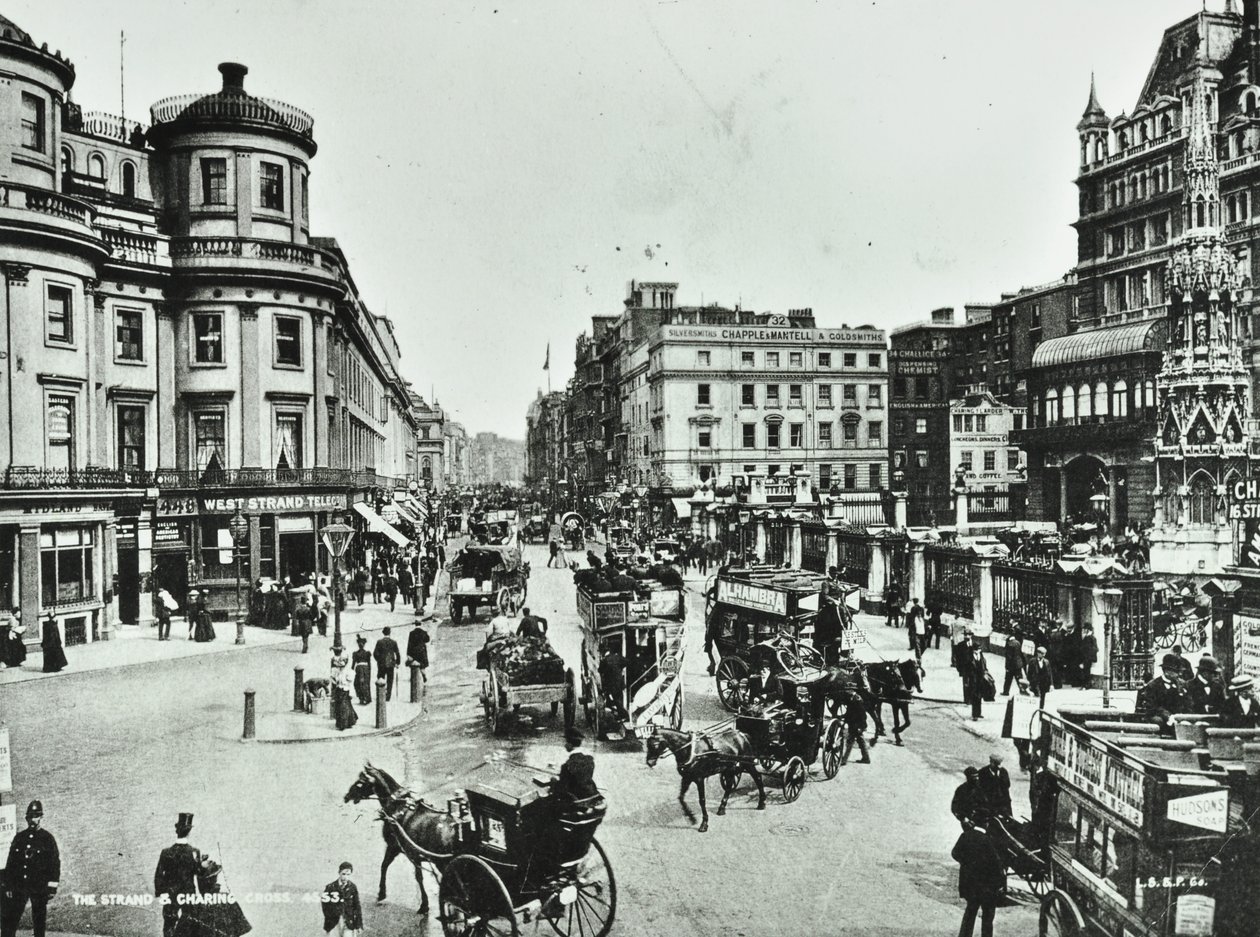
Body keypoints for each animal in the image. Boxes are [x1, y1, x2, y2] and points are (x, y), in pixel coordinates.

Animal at [342, 760, 461, 916]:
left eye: (360, 782)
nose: (346, 796)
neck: (398, 806)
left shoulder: (397, 848)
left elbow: (406, 873)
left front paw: (423, 905)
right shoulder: (404, 851)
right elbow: (388, 866)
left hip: (442, 863)